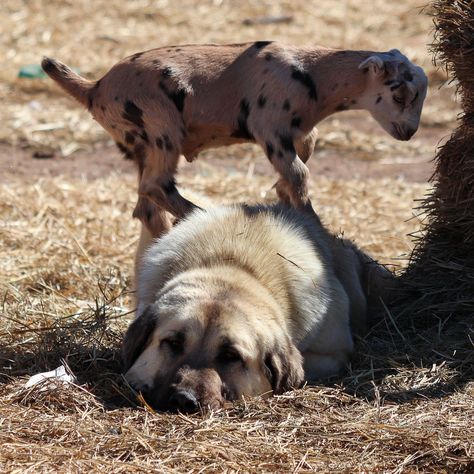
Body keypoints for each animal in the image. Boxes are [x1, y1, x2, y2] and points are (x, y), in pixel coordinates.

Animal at [42, 41, 430, 241]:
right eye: (400, 94)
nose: (410, 132)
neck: (312, 76)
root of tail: (94, 88)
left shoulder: (297, 131)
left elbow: (303, 156)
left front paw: (281, 194)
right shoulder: (269, 127)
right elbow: (299, 174)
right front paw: (313, 224)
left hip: (143, 142)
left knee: (146, 204)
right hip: (161, 126)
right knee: (155, 186)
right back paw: (199, 215)